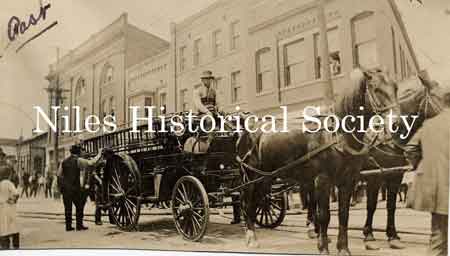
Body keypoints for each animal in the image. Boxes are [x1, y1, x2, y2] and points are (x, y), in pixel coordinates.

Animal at [237, 67, 400, 255]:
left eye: (395, 88)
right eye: (376, 89)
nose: (397, 124)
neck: (337, 134)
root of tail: (246, 130)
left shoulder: (348, 180)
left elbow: (344, 215)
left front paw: (343, 248)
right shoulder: (322, 180)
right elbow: (324, 216)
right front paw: (323, 247)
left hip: (266, 178)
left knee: (258, 201)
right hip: (251, 177)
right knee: (248, 202)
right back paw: (251, 237)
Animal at [362, 75, 446, 250]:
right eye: (436, 97)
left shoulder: (395, 175)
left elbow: (391, 206)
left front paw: (393, 236)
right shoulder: (373, 176)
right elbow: (371, 205)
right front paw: (369, 236)